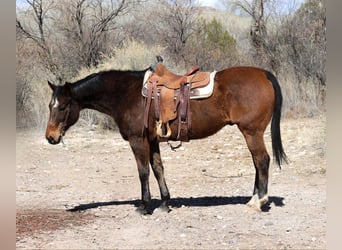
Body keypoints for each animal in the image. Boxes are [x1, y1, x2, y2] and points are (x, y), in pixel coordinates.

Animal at [44, 65, 286, 214]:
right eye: (50, 105)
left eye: (62, 106)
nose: (50, 137)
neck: (126, 94)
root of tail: (264, 74)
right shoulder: (152, 142)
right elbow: (158, 169)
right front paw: (164, 203)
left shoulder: (138, 141)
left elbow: (143, 172)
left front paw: (144, 206)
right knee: (257, 163)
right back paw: (253, 198)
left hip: (252, 132)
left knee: (262, 161)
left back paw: (259, 201)